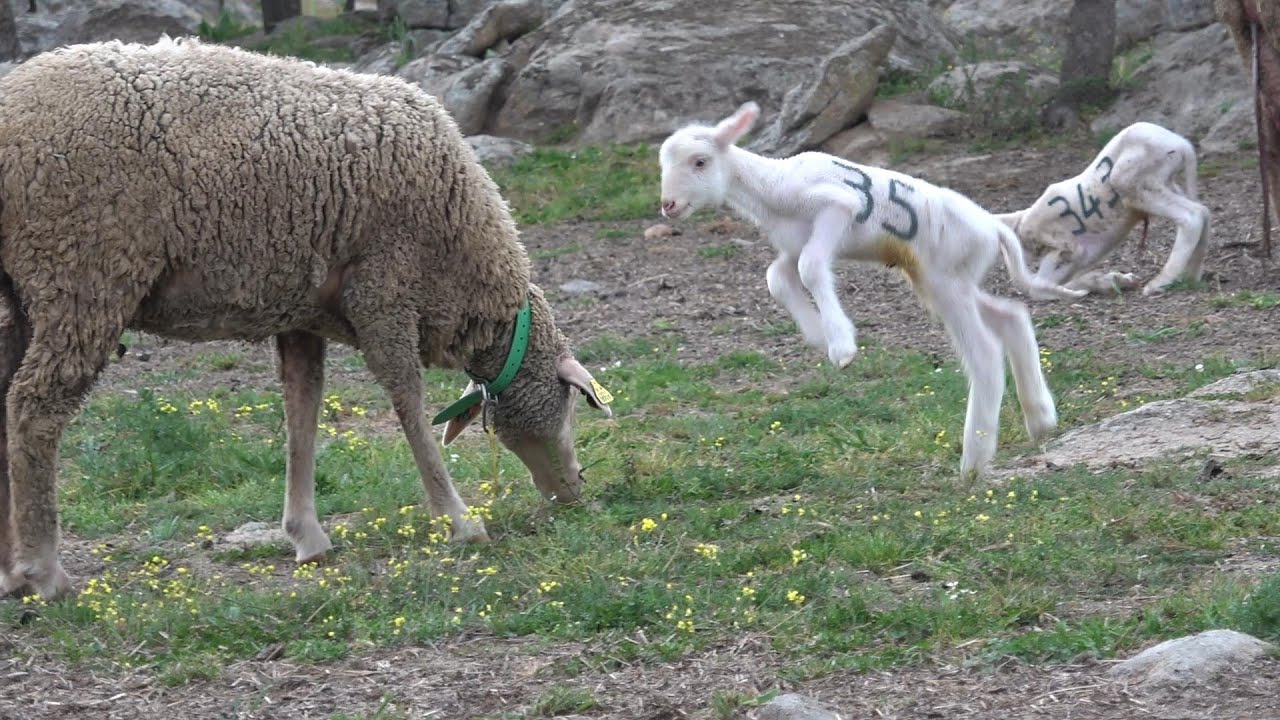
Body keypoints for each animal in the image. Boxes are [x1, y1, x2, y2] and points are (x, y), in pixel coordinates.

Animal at [0, 37, 613, 601]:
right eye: (569, 406)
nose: (574, 492)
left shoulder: (299, 311)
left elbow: (303, 411)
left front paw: (307, 535)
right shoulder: (384, 290)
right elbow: (408, 402)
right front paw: (459, 520)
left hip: (21, 294)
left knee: (6, 399)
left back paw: (10, 571)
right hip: (82, 274)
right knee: (35, 411)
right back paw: (44, 571)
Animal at [658, 101, 1084, 478]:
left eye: (700, 161)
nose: (668, 205)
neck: (772, 188)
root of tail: (994, 227)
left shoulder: (837, 208)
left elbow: (810, 267)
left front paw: (842, 347)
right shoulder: (793, 243)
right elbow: (778, 277)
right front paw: (818, 335)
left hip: (947, 279)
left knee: (985, 353)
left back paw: (974, 462)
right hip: (941, 279)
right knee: (1011, 315)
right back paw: (1040, 420)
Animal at [993, 122, 1212, 297]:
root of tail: (1183, 145)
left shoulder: (1067, 248)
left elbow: (1037, 287)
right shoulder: (1077, 259)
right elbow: (1051, 283)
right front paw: (1117, 281)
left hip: (1130, 183)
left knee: (1192, 216)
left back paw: (1159, 283)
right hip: (1165, 184)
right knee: (1203, 211)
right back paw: (1191, 275)